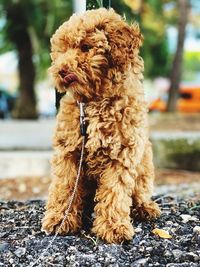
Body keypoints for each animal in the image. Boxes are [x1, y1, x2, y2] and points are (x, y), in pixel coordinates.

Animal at [42, 7, 161, 245]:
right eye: (62, 50)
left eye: (86, 47)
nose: (60, 71)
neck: (94, 101)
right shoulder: (69, 151)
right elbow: (65, 186)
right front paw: (60, 219)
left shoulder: (122, 153)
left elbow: (115, 190)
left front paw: (113, 227)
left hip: (145, 163)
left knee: (139, 192)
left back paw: (145, 208)